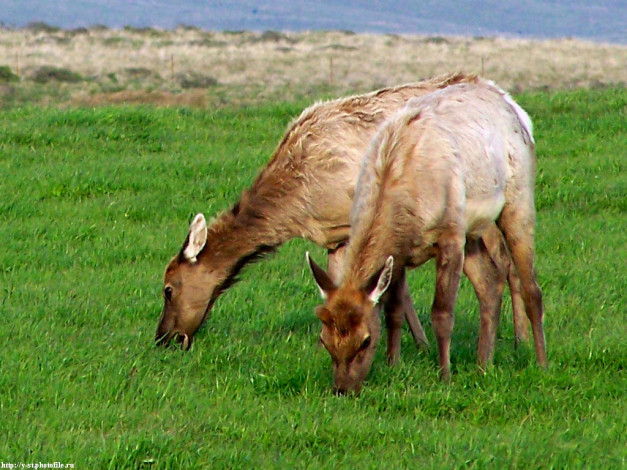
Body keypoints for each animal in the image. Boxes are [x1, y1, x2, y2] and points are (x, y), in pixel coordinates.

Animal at [155, 71, 528, 354]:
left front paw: (415, 344)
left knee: (506, 260)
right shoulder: (335, 236)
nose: (165, 339)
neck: (299, 204)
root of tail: (516, 106)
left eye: (168, 288)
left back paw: (521, 341)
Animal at [310, 80, 548, 392]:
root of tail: (515, 109)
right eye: (324, 340)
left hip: (515, 200)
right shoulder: (399, 252)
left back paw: (540, 361)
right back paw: (483, 363)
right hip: (472, 229)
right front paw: (393, 363)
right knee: (490, 282)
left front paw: (445, 374)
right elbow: (394, 310)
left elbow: (442, 313)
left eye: (365, 341)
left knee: (532, 288)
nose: (342, 389)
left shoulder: (449, 234)